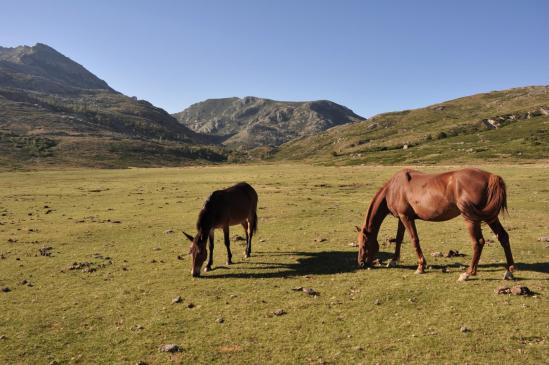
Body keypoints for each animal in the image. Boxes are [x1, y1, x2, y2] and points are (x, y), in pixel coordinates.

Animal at [356, 166, 512, 280]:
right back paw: (510, 270)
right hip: (490, 217)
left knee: (478, 242)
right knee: (503, 236)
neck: (394, 188)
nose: (360, 263)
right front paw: (393, 261)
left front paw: (420, 267)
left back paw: (468, 273)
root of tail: (491, 176)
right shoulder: (402, 218)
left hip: (471, 219)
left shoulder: (406, 218)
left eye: (364, 243)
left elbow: (414, 240)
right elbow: (399, 239)